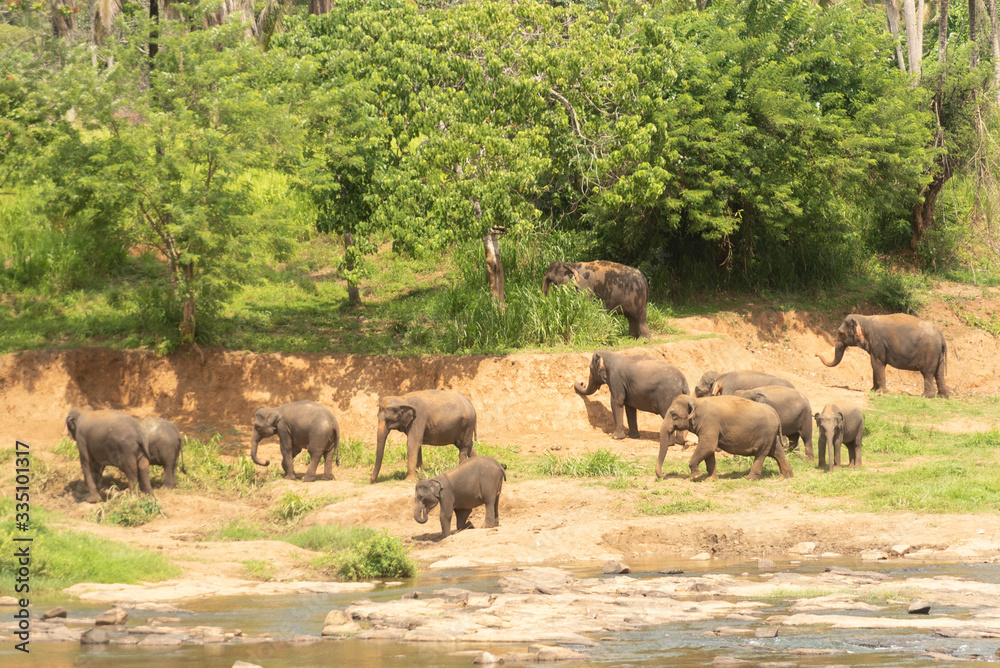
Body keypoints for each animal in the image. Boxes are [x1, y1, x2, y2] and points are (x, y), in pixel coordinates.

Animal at [658, 394, 794, 481]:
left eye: (673, 414)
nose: (664, 474)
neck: (696, 400)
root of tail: (776, 414)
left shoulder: (710, 423)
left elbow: (708, 445)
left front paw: (695, 477)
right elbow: (709, 450)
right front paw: (711, 479)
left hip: (765, 434)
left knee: (761, 454)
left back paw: (749, 479)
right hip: (771, 434)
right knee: (777, 451)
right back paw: (785, 476)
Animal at [817, 313, 950, 398]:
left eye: (840, 333)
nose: (815, 354)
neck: (864, 318)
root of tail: (941, 336)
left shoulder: (878, 342)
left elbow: (877, 363)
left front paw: (880, 393)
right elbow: (875, 364)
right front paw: (873, 390)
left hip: (930, 352)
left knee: (927, 373)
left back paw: (926, 396)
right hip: (939, 355)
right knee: (939, 373)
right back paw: (943, 396)